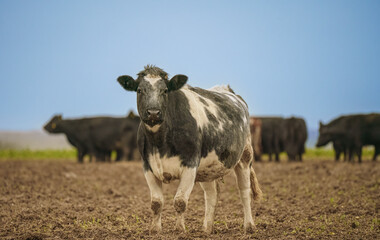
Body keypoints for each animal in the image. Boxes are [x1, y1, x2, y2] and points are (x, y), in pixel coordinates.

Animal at [118, 64, 262, 233]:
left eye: (165, 90)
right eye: (140, 90)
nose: (153, 112)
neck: (160, 142)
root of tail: (226, 89)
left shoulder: (190, 164)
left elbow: (180, 201)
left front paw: (179, 230)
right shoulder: (148, 166)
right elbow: (156, 203)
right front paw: (155, 230)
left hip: (245, 156)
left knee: (244, 191)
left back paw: (249, 226)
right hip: (207, 168)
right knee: (211, 194)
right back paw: (206, 229)